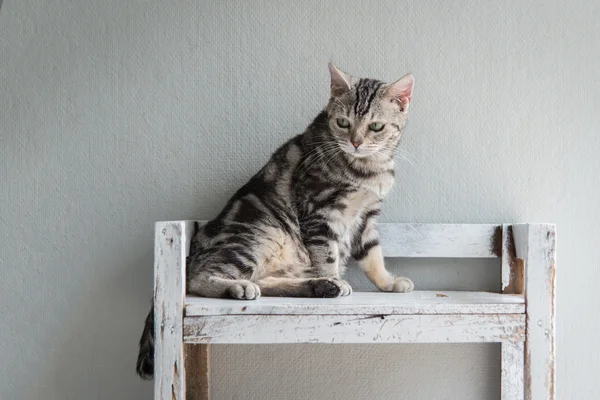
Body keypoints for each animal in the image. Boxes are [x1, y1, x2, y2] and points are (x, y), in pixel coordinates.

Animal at [138, 62, 414, 378]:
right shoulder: (319, 212)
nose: (355, 142)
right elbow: (327, 255)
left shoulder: (367, 218)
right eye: (343, 122)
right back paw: (251, 286)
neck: (367, 170)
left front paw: (388, 282)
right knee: (198, 277)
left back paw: (317, 286)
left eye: (376, 126)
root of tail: (193, 248)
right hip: (259, 235)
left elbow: (373, 256)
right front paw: (335, 278)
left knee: (263, 279)